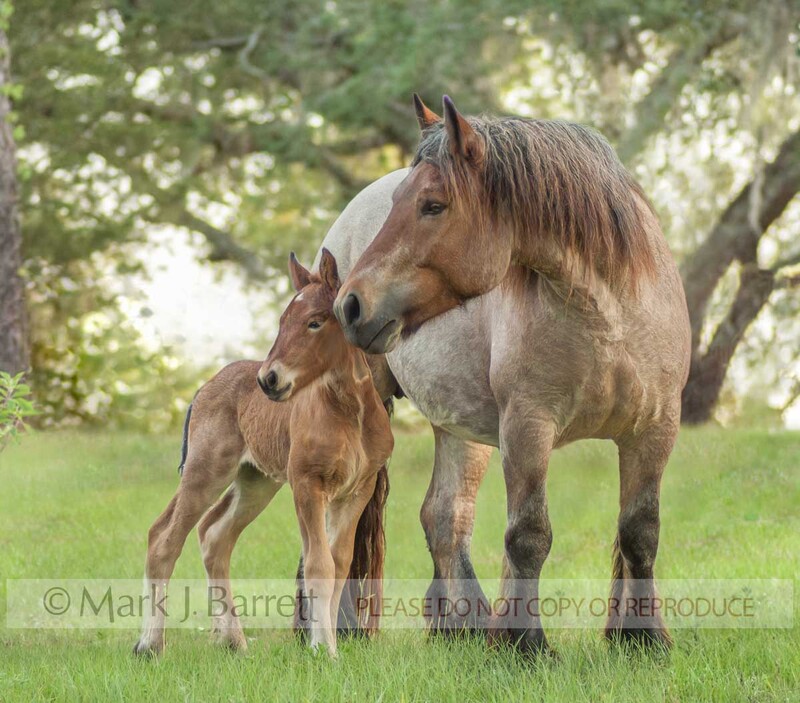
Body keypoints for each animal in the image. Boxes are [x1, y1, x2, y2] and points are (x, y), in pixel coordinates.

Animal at [134, 249, 393, 657]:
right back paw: (149, 644)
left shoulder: (357, 490)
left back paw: (233, 641)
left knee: (214, 535)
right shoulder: (307, 484)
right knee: (164, 538)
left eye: (315, 322)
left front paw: (327, 644)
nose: (269, 379)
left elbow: (339, 563)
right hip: (206, 470)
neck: (350, 412)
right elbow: (317, 564)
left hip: (256, 481)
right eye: (282, 320)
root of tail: (204, 388)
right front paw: (324, 650)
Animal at [318, 95, 690, 654]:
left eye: (433, 205)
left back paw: (464, 628)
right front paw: (527, 643)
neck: (612, 316)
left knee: (445, 516)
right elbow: (529, 536)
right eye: (402, 201)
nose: (351, 305)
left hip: (457, 428)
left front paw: (643, 641)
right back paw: (339, 627)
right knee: (349, 516)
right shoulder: (527, 428)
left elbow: (639, 532)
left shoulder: (654, 430)